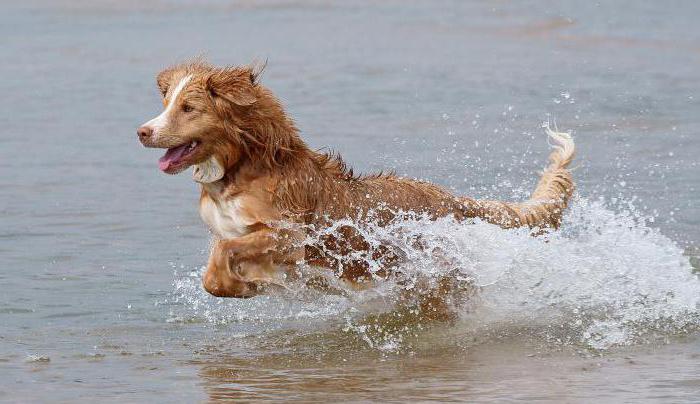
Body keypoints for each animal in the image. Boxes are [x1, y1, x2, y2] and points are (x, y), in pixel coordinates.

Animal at [137, 60, 576, 300]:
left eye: (188, 108)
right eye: (166, 103)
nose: (142, 131)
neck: (241, 170)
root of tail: (451, 199)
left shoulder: (292, 234)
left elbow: (225, 255)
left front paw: (243, 286)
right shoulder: (228, 229)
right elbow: (218, 264)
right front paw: (244, 285)